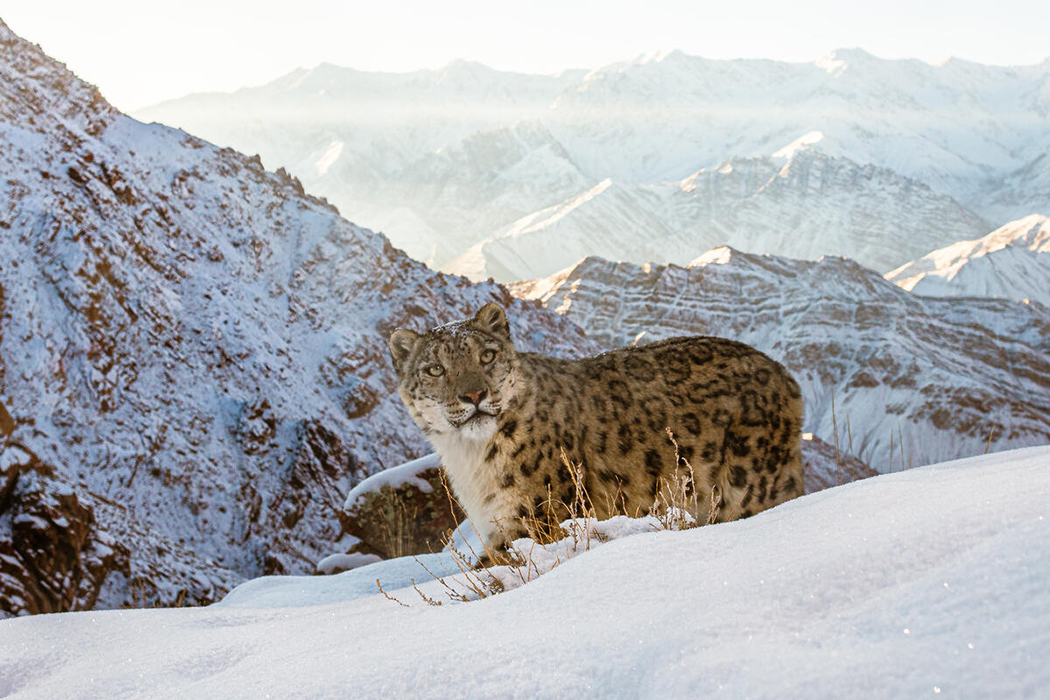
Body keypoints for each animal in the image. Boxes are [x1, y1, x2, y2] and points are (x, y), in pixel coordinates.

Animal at [389, 303, 804, 553]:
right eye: (435, 369)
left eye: (487, 355)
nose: (474, 393)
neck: (471, 459)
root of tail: (782, 373)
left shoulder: (534, 519)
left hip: (748, 488)